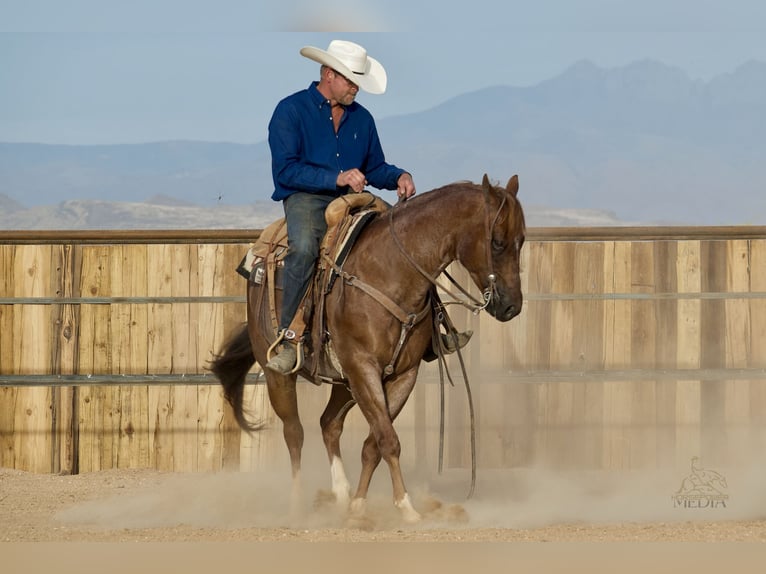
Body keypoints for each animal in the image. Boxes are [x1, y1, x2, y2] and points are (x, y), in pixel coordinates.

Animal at [210, 174, 525, 523]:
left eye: (522, 240)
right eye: (496, 241)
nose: (512, 306)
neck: (392, 272)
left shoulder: (402, 375)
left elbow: (374, 442)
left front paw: (359, 505)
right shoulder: (363, 368)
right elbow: (388, 439)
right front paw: (406, 507)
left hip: (344, 382)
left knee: (329, 424)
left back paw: (341, 493)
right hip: (280, 376)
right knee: (294, 433)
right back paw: (296, 504)